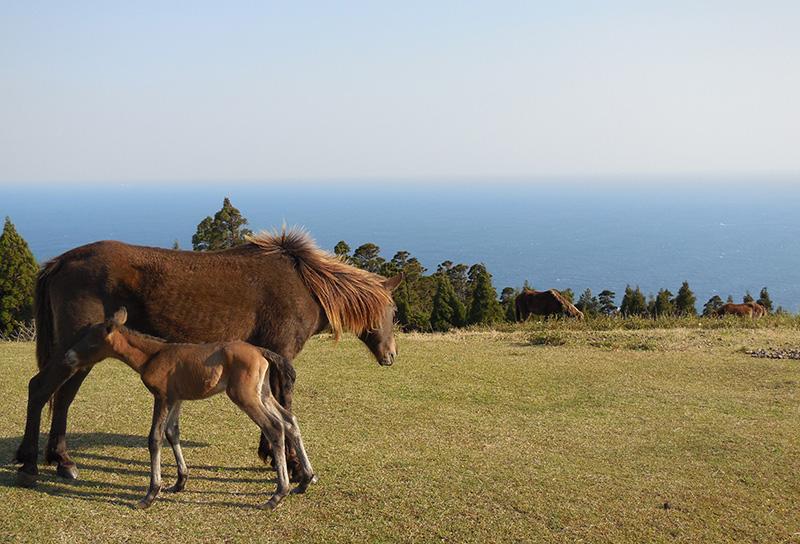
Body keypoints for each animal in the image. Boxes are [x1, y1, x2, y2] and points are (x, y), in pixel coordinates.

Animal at [17, 228, 406, 484]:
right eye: (393, 310)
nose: (391, 355)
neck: (306, 285)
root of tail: (62, 261)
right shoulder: (282, 355)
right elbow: (285, 406)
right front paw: (294, 467)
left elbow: (272, 405)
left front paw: (271, 454)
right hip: (74, 350)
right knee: (40, 389)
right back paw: (29, 464)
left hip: (82, 354)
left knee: (62, 397)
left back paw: (62, 460)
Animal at [66, 308, 316, 512]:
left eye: (91, 340)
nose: (68, 357)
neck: (152, 356)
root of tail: (261, 352)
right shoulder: (177, 399)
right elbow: (172, 432)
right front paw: (180, 482)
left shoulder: (162, 397)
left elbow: (155, 438)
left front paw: (150, 494)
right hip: (262, 393)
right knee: (289, 420)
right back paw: (305, 480)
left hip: (245, 396)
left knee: (274, 427)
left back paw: (277, 495)